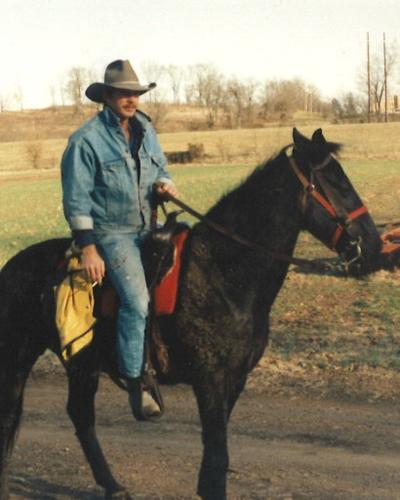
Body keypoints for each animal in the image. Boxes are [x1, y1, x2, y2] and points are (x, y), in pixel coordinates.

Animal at [0, 128, 383, 500]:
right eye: (339, 184)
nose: (375, 247)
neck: (222, 271)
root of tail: (12, 267)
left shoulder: (234, 380)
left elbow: (215, 452)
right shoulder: (210, 379)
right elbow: (217, 452)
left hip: (82, 363)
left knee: (79, 415)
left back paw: (112, 485)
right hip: (20, 360)